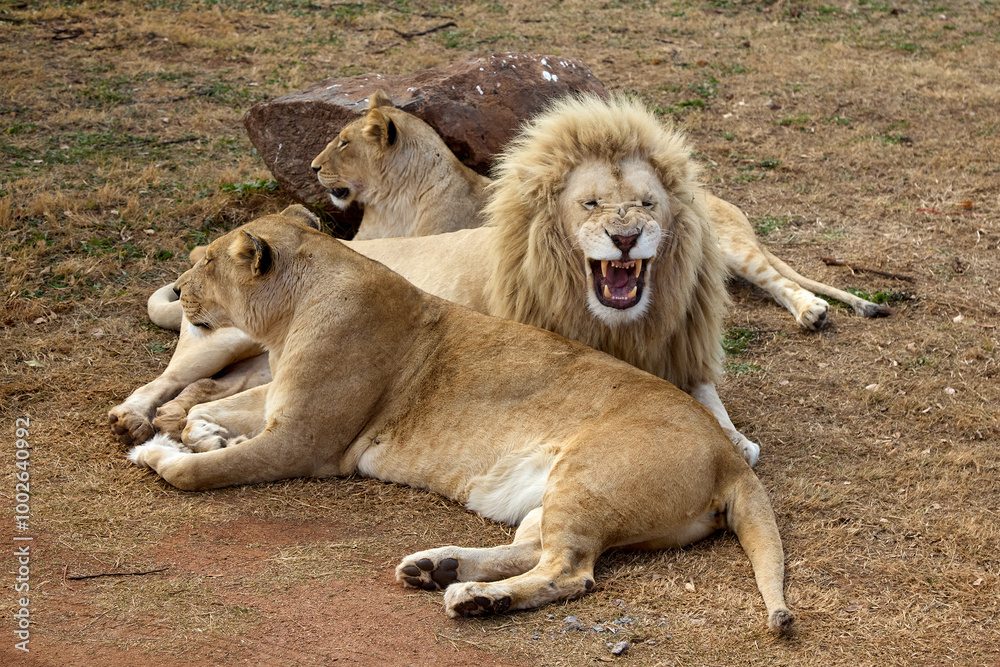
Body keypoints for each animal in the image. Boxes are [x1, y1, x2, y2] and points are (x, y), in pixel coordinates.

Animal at [127, 209, 794, 633]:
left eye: (207, 262)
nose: (179, 287)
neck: (292, 315)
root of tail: (728, 455)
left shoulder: (303, 442)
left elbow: (197, 473)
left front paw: (163, 451)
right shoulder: (279, 404)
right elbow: (212, 407)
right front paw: (198, 431)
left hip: (587, 477)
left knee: (568, 572)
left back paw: (472, 597)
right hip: (555, 494)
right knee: (532, 548)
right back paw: (437, 566)